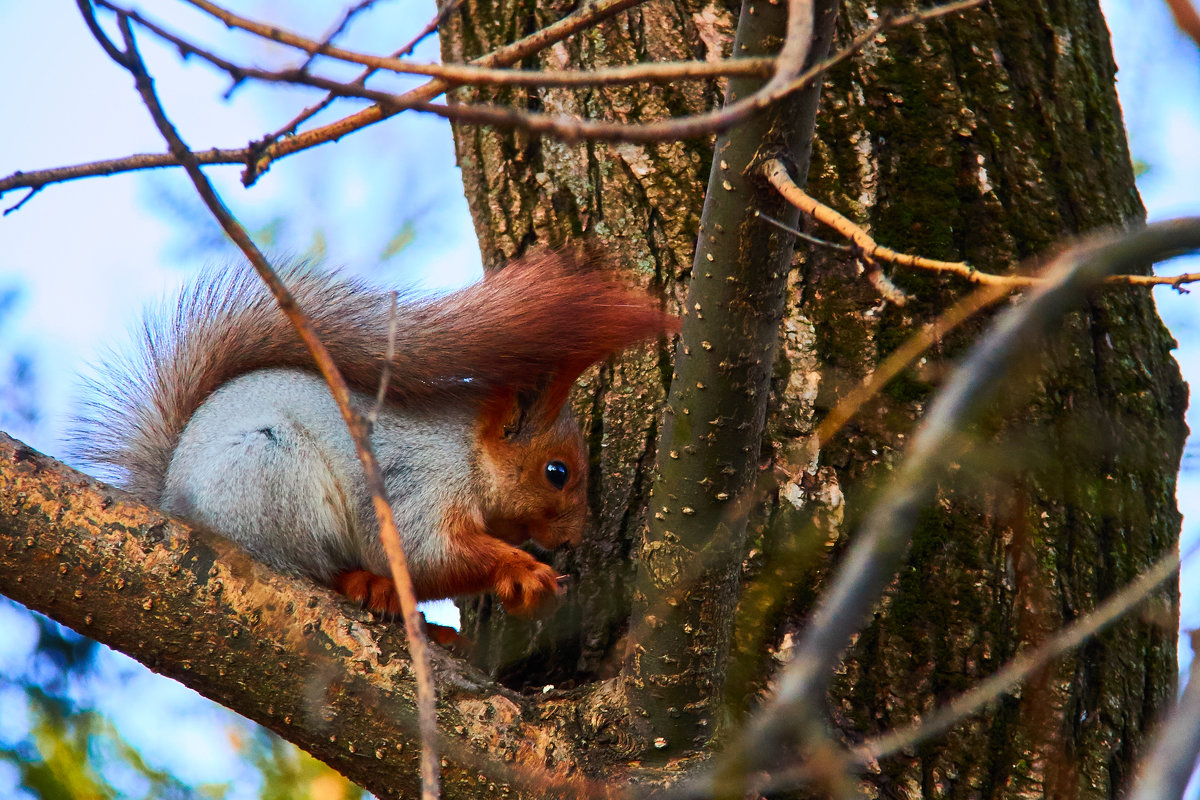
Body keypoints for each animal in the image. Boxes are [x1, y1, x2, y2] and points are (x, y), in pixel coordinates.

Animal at [75, 250, 676, 618]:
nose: (573, 539)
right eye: (557, 473)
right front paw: (524, 570)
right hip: (271, 474)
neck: (466, 453)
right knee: (308, 567)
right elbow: (425, 554)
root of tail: (168, 494)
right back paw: (362, 583)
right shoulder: (416, 485)